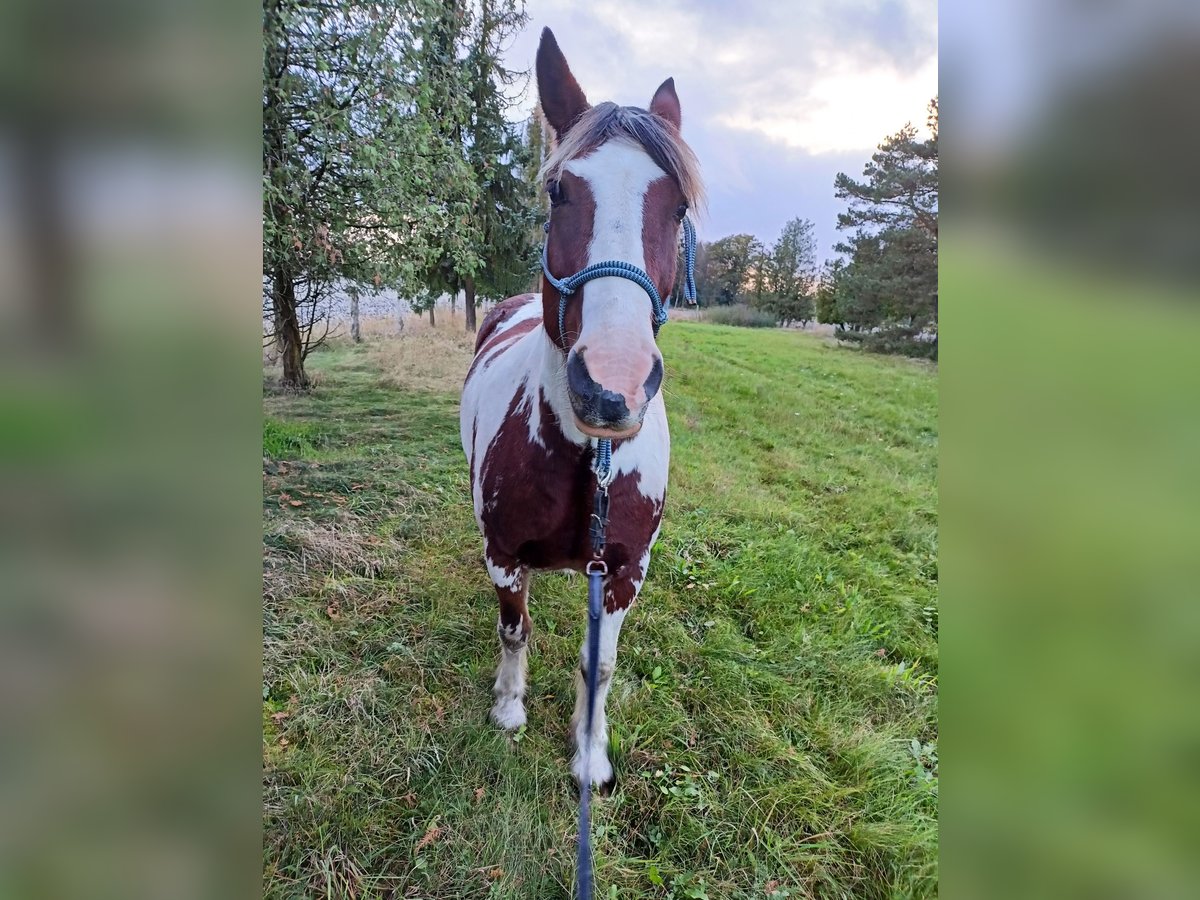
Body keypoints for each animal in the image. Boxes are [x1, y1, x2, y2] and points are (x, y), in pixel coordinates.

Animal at [458, 28, 700, 787]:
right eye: (559, 191)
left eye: (677, 207)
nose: (612, 386)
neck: (586, 462)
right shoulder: (504, 555)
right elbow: (514, 628)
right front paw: (509, 710)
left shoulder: (624, 575)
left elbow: (601, 667)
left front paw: (590, 754)